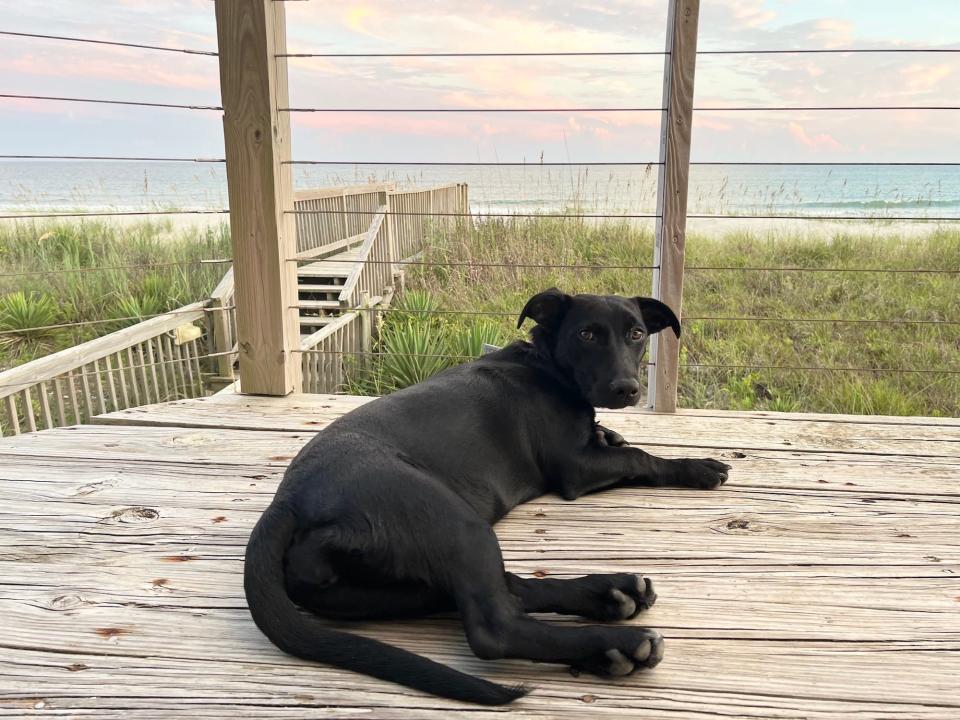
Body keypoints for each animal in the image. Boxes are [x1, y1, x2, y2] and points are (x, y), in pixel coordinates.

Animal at [246, 288, 728, 704]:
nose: (626, 388)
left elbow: (620, 443)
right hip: (456, 522)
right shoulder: (575, 467)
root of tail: (286, 502)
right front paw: (697, 467)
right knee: (496, 628)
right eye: (587, 334)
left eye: (637, 334)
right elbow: (639, 456)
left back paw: (610, 594)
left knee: (504, 590)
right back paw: (618, 644)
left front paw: (614, 434)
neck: (546, 365)